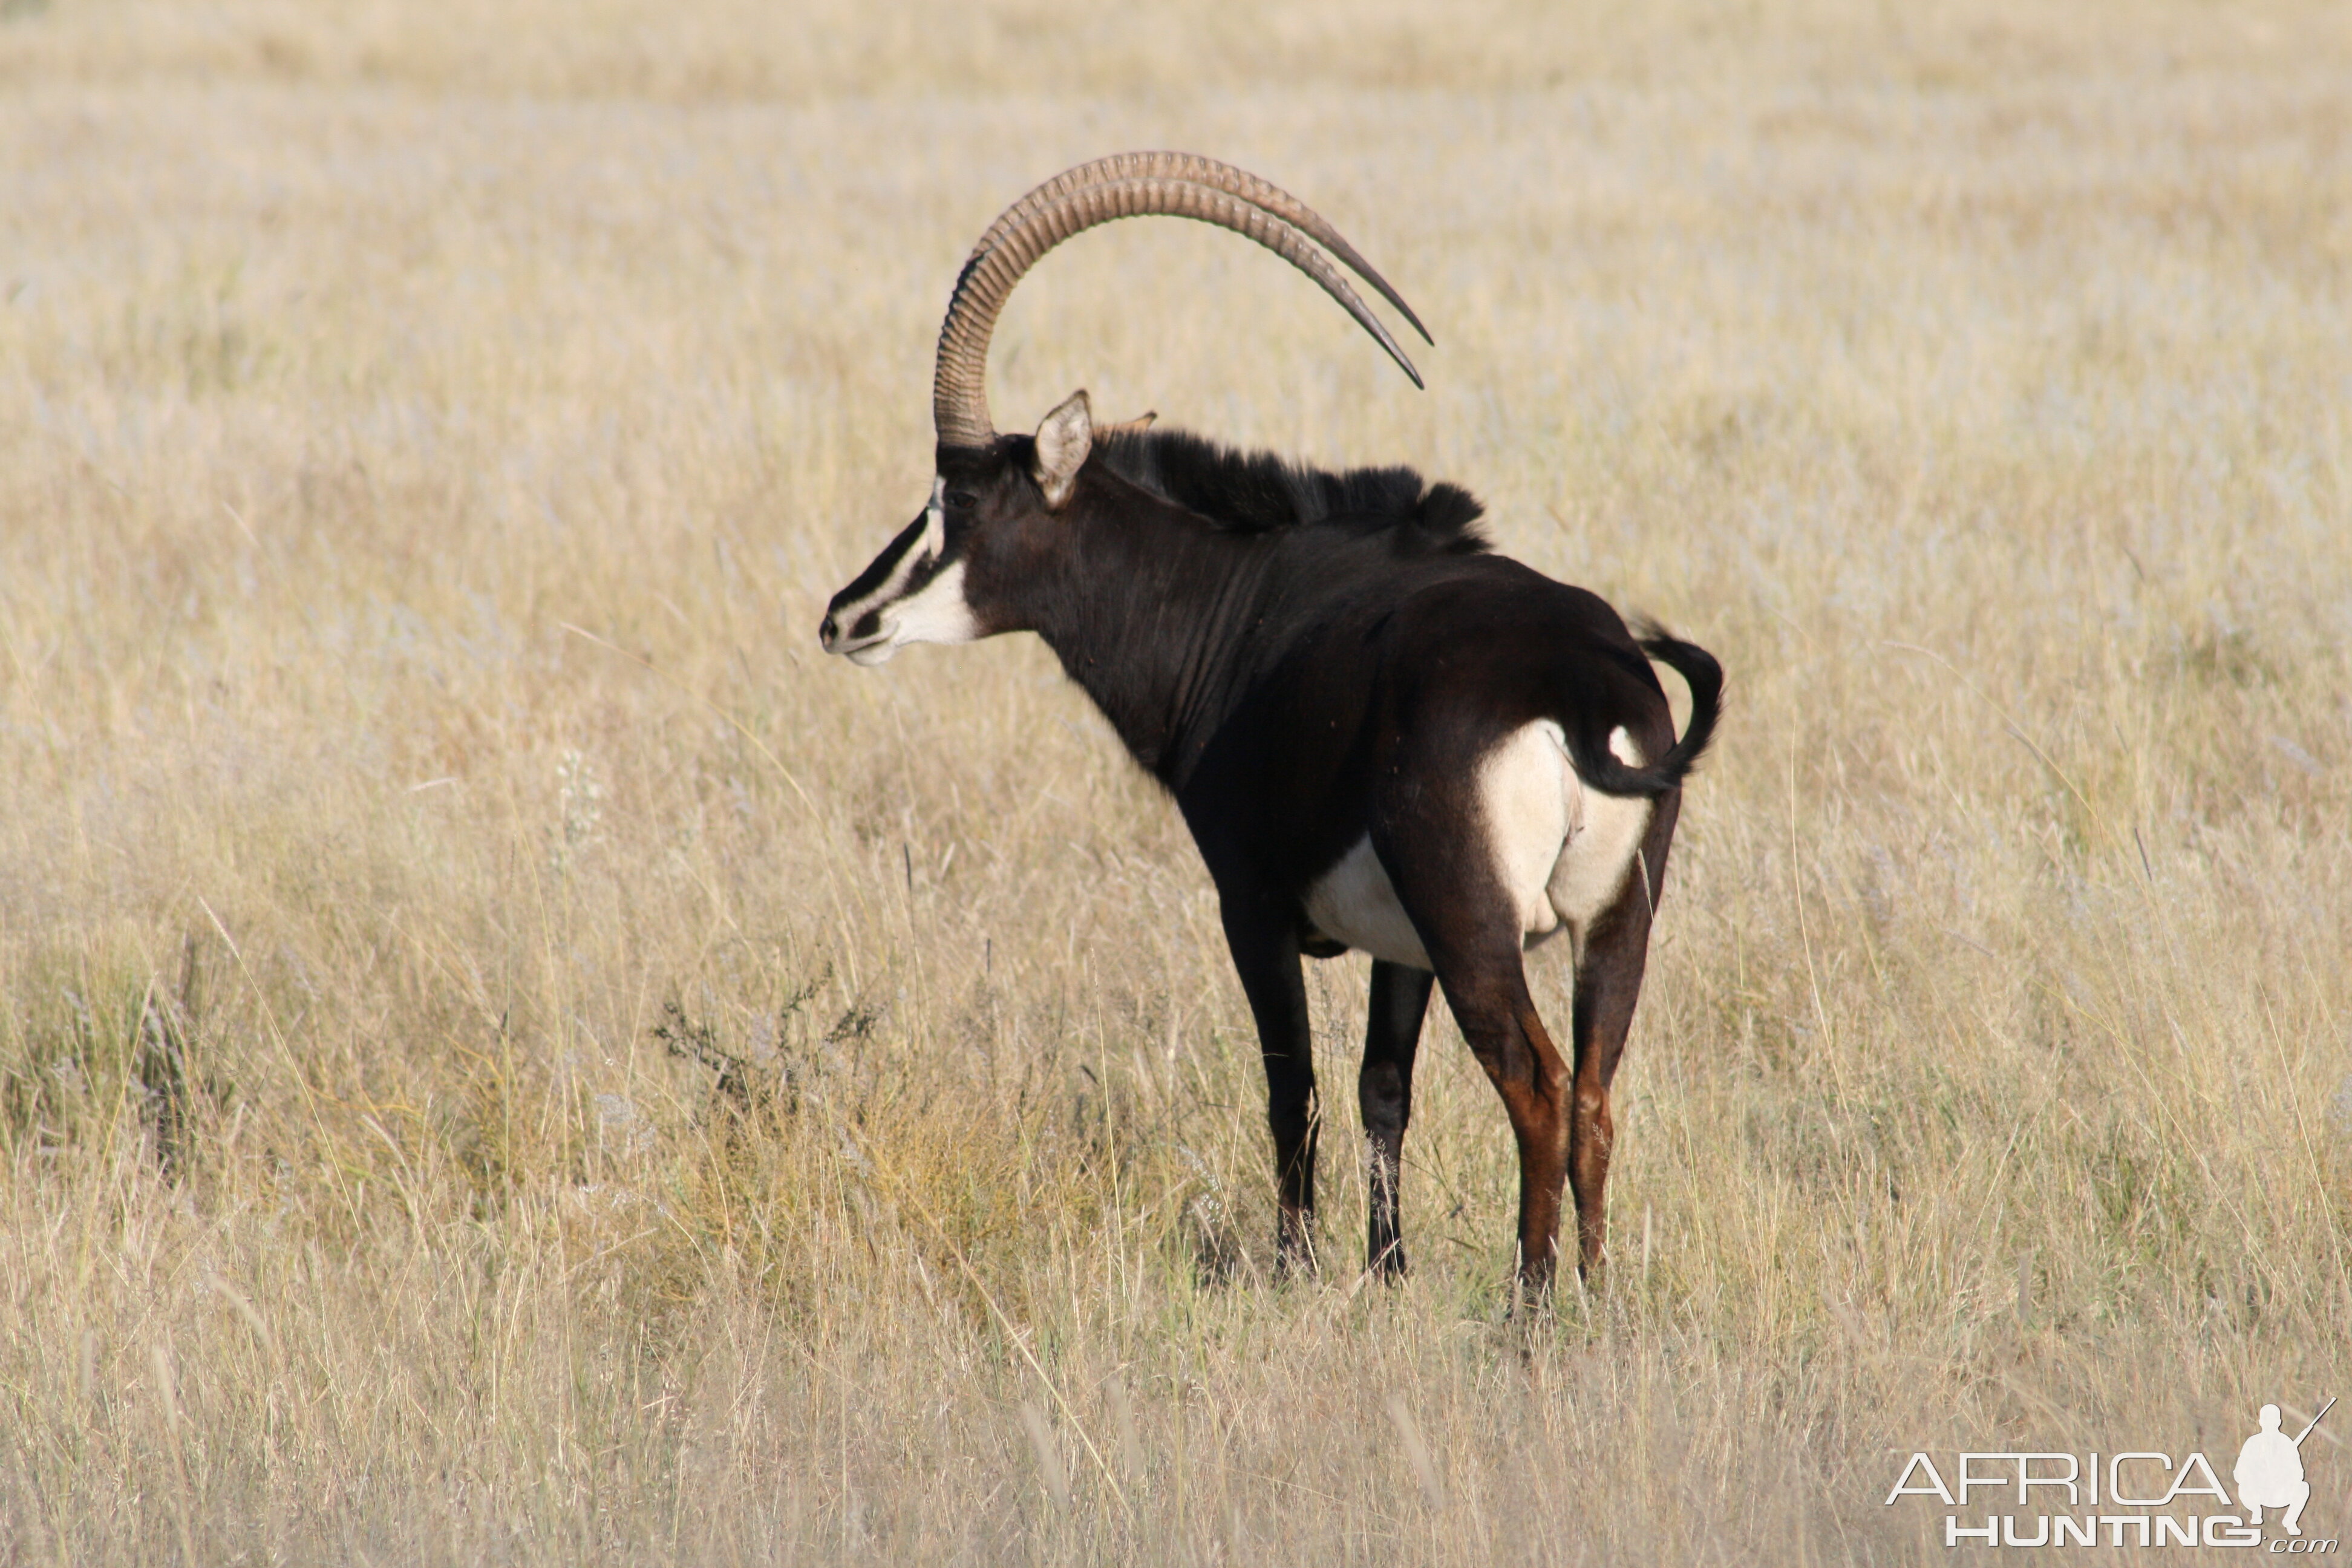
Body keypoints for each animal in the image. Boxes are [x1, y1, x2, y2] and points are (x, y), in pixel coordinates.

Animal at [828, 156, 1731, 1288]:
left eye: (963, 503)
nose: (846, 617)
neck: (1237, 599)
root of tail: (1577, 685)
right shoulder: (1398, 944)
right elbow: (1382, 1088)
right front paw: (1385, 1271)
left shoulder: (1249, 904)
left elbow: (1290, 1086)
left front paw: (1296, 1266)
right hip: (1614, 924)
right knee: (1597, 1096)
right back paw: (1594, 1293)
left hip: (1475, 929)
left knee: (1538, 1088)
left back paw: (1528, 1301)